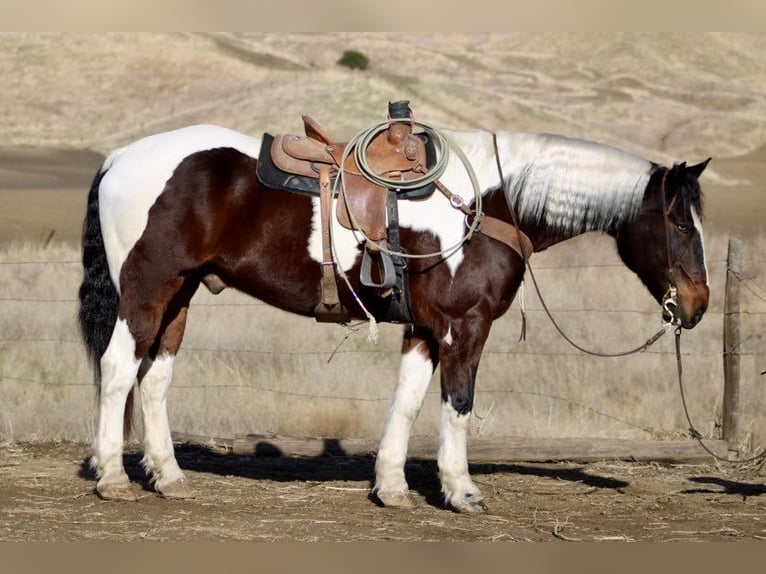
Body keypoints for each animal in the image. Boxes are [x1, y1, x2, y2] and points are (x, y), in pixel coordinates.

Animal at [78, 122, 710, 513]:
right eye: (681, 223)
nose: (699, 305)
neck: (488, 204)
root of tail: (119, 160)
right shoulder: (464, 326)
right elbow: (458, 405)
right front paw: (461, 491)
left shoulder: (426, 330)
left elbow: (405, 403)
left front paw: (391, 487)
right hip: (146, 290)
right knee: (117, 370)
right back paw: (113, 477)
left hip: (178, 296)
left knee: (154, 379)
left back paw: (169, 477)